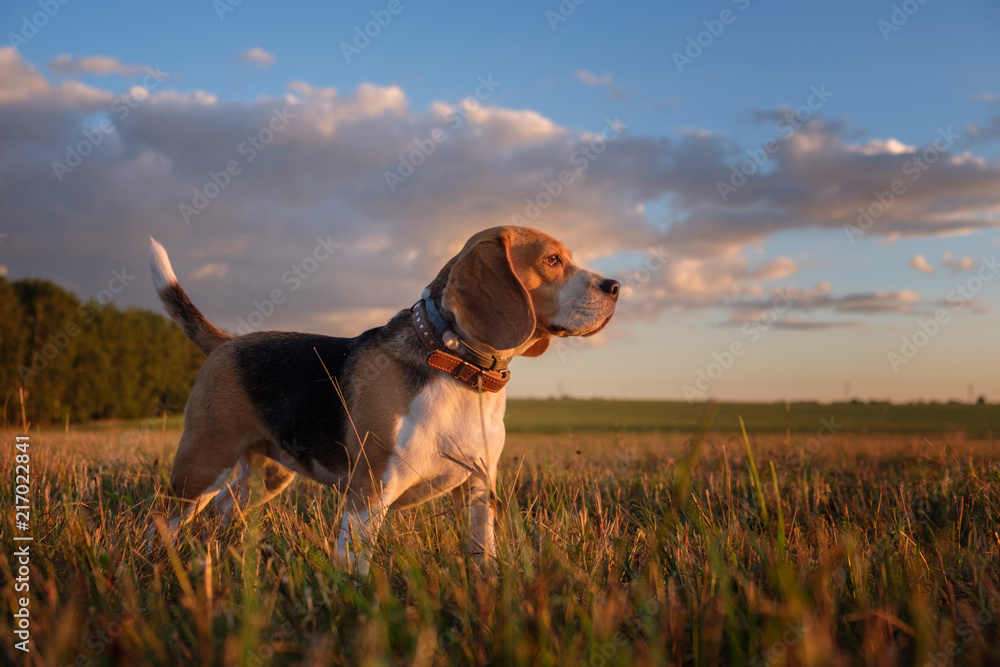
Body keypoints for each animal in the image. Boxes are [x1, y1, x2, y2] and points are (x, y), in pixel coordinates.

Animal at [148, 227, 616, 572]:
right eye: (551, 261)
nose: (614, 286)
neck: (456, 365)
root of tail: (226, 342)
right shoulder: (368, 492)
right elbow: (355, 566)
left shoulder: (479, 487)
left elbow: (483, 550)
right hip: (203, 462)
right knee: (163, 517)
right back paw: (157, 564)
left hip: (268, 474)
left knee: (225, 504)